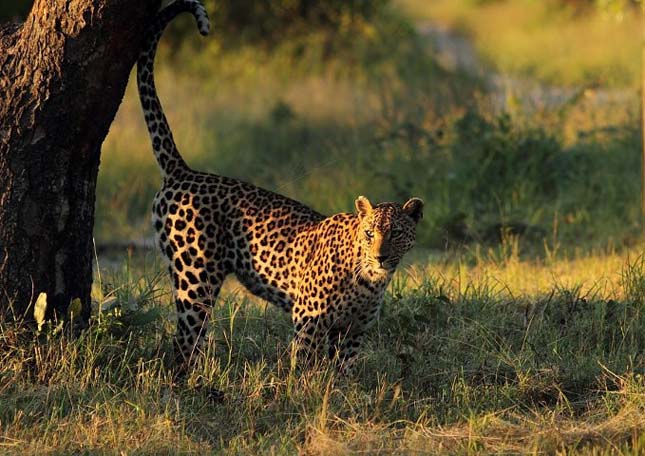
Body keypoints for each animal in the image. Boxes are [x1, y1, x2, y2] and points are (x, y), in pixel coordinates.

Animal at [136, 0, 422, 376]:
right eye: (370, 233)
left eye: (397, 233)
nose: (381, 257)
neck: (369, 282)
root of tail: (184, 171)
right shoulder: (310, 321)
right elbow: (305, 367)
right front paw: (303, 389)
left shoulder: (352, 332)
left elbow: (344, 374)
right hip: (194, 277)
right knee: (184, 339)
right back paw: (186, 380)